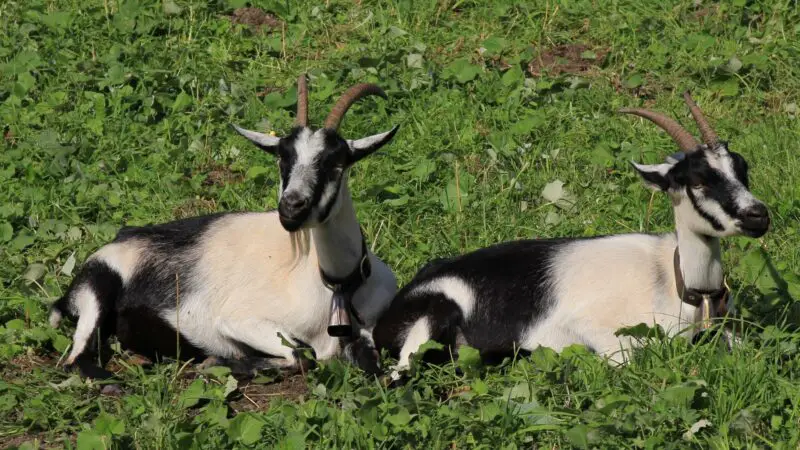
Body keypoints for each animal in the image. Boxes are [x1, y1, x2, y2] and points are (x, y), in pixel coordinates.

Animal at [50, 75, 400, 378]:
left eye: (336, 163)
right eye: (282, 158)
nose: (291, 207)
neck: (332, 284)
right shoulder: (238, 320)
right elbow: (299, 356)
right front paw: (219, 361)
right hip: (98, 287)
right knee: (75, 359)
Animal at [374, 93, 768, 374]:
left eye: (742, 168)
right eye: (697, 181)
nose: (758, 215)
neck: (676, 283)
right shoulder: (597, 333)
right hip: (430, 320)